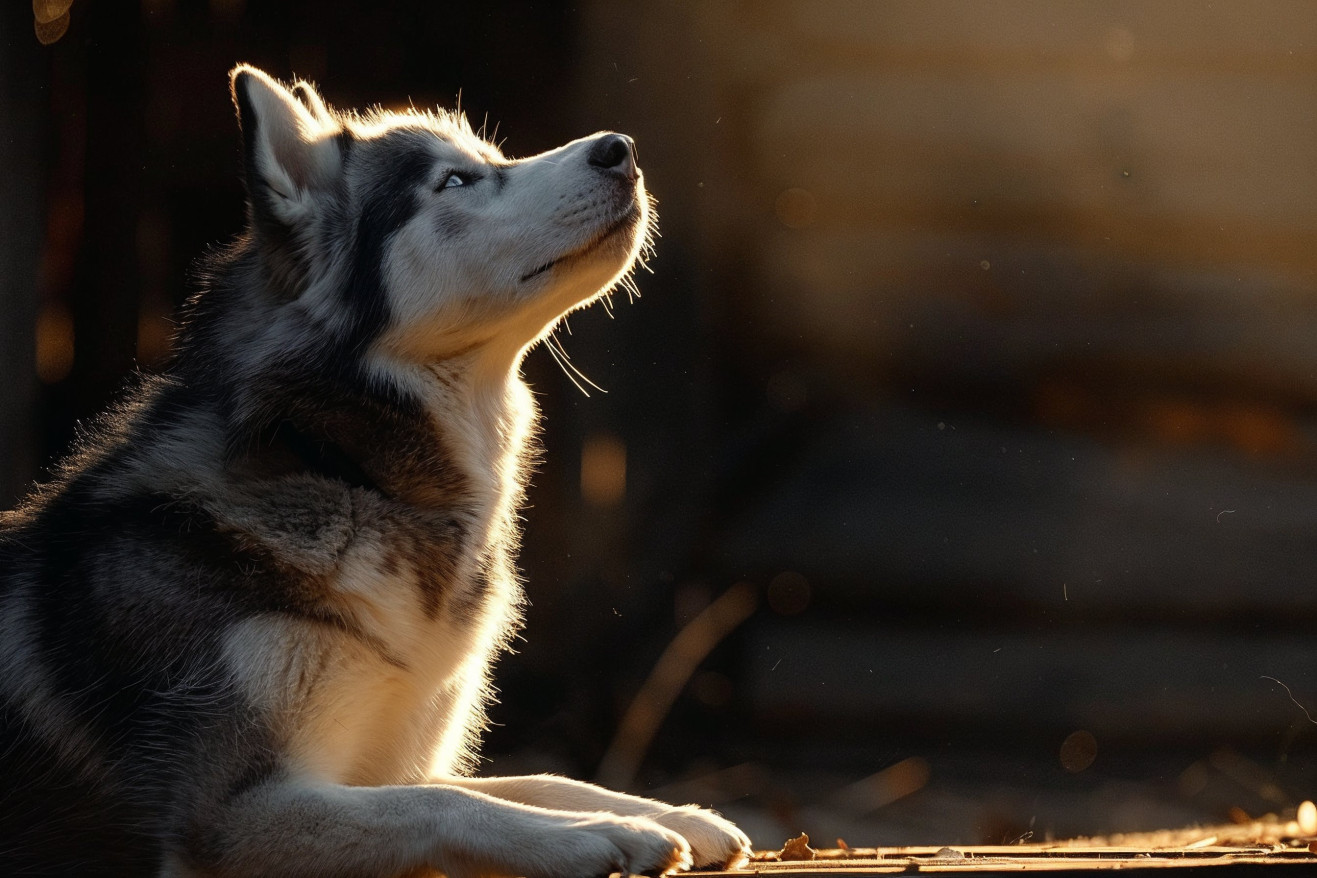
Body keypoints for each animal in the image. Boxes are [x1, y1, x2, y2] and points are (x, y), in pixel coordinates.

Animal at [0, 68, 753, 878]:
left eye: (491, 158)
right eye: (454, 181)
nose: (622, 150)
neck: (343, 470)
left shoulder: (388, 764)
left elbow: (524, 779)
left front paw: (672, 811)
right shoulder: (229, 816)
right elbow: (442, 802)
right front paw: (598, 835)